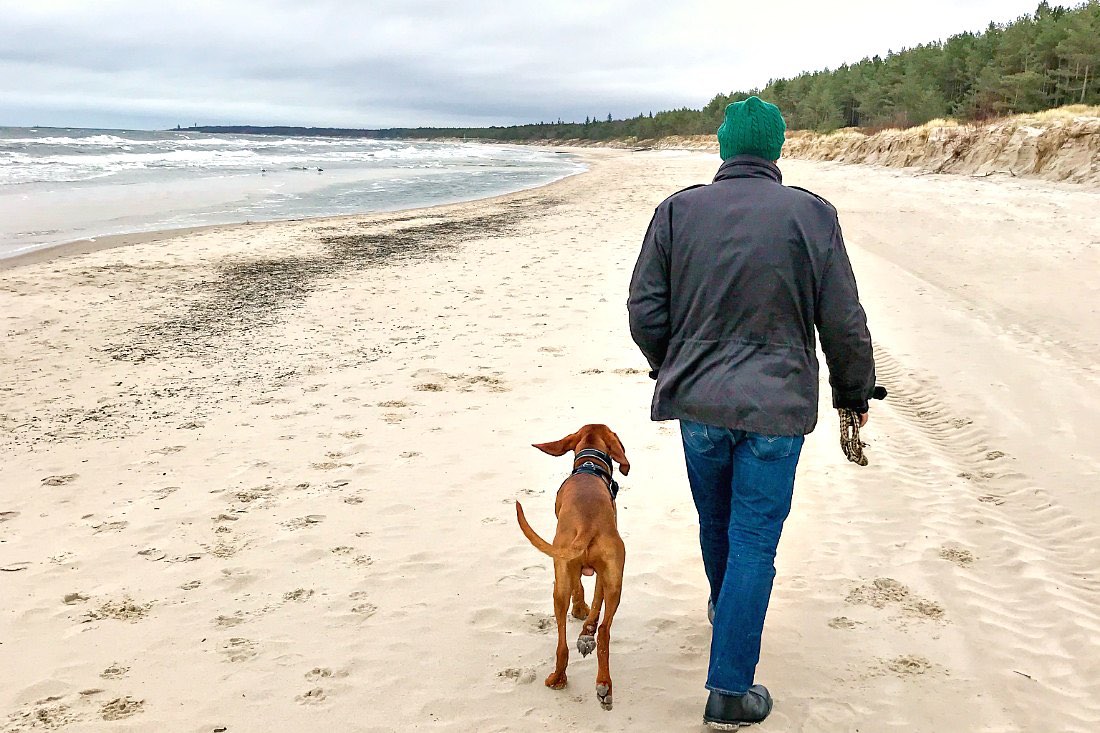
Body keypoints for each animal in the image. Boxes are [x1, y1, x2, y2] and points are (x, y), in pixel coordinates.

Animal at [514, 422, 629, 708]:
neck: (589, 465)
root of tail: (588, 524)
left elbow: (581, 589)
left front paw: (579, 610)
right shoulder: (600, 575)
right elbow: (595, 607)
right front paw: (586, 628)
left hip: (559, 581)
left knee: (563, 640)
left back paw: (558, 677)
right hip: (614, 581)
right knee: (603, 632)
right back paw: (602, 685)